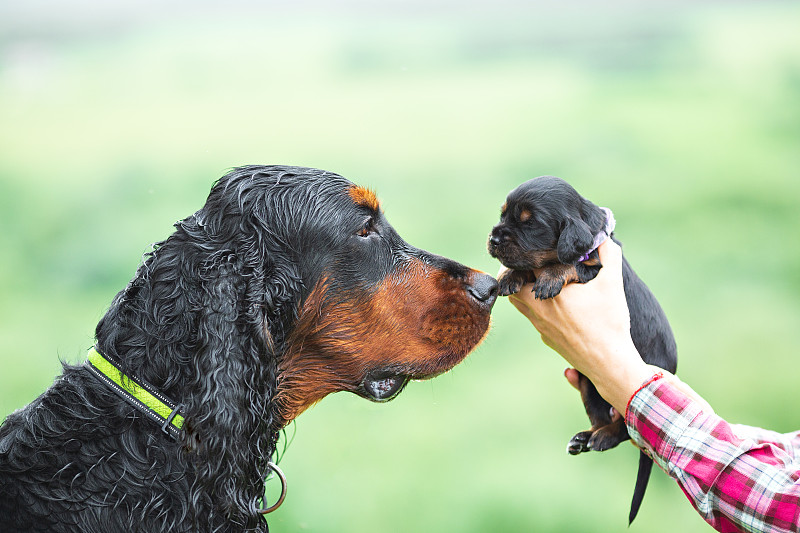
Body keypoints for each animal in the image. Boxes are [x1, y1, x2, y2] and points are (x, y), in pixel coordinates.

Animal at [488, 176, 676, 524]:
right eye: (503, 214)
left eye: (529, 223)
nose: (493, 239)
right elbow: (528, 266)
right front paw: (510, 275)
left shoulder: (593, 267)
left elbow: (566, 265)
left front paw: (549, 276)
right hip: (590, 387)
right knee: (603, 417)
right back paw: (584, 438)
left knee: (629, 429)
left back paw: (602, 437)